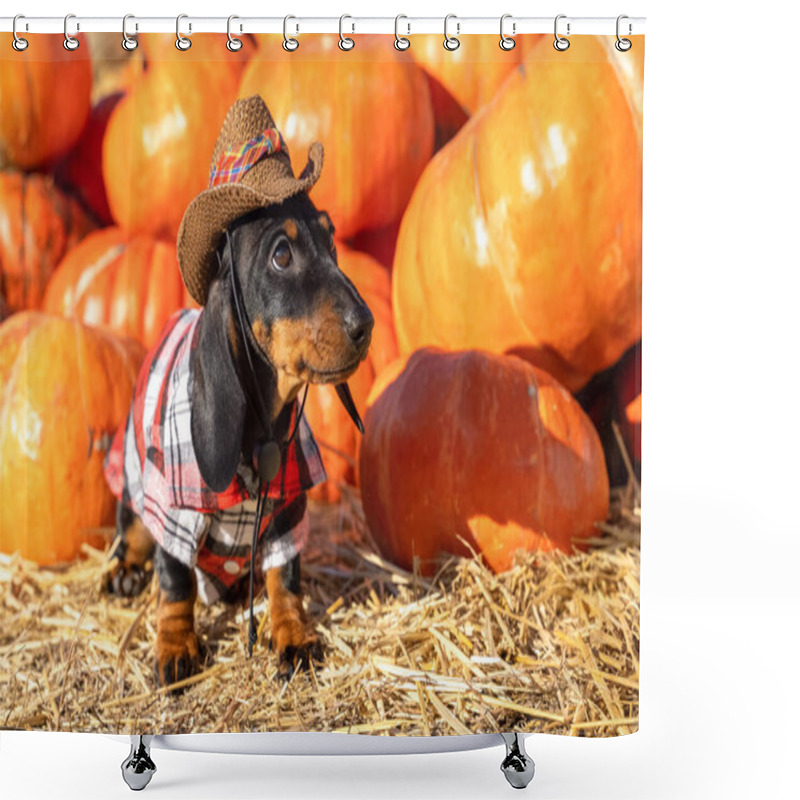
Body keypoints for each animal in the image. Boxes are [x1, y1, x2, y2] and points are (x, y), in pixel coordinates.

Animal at [103, 98, 372, 688]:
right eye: (281, 256)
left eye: (332, 240)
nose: (365, 325)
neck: (260, 430)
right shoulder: (174, 509)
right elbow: (176, 581)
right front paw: (175, 644)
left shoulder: (288, 510)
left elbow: (284, 577)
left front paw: (292, 634)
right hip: (133, 481)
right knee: (133, 533)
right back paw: (123, 570)